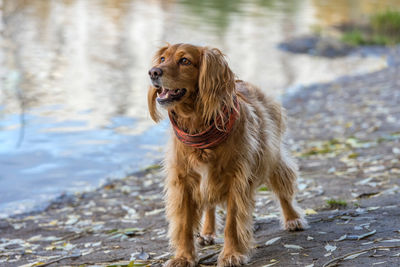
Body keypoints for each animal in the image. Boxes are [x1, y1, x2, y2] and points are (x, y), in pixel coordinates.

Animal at [147, 44, 306, 267]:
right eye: (162, 58)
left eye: (185, 61)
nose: (153, 72)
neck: (199, 129)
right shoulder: (183, 181)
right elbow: (185, 225)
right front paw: (183, 257)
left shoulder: (237, 180)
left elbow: (232, 223)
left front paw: (231, 254)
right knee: (209, 205)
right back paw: (207, 231)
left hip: (271, 155)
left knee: (283, 186)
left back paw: (292, 218)